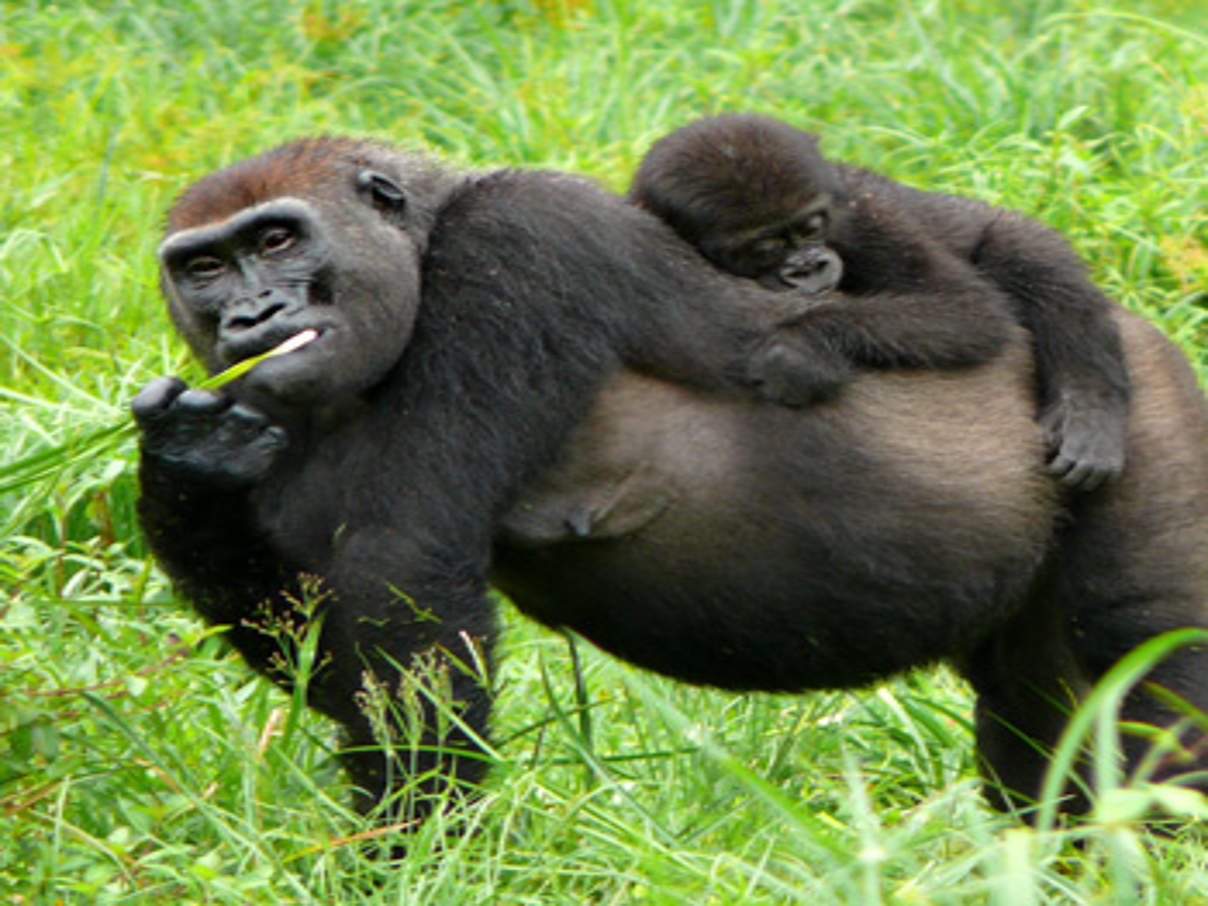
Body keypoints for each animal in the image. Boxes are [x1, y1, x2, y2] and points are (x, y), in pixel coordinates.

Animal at [632, 117, 1130, 497]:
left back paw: (1089, 408)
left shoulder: (864, 215)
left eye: (810, 227)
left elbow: (964, 309)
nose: (808, 267)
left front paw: (802, 348)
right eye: (765, 248)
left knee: (1028, 256)